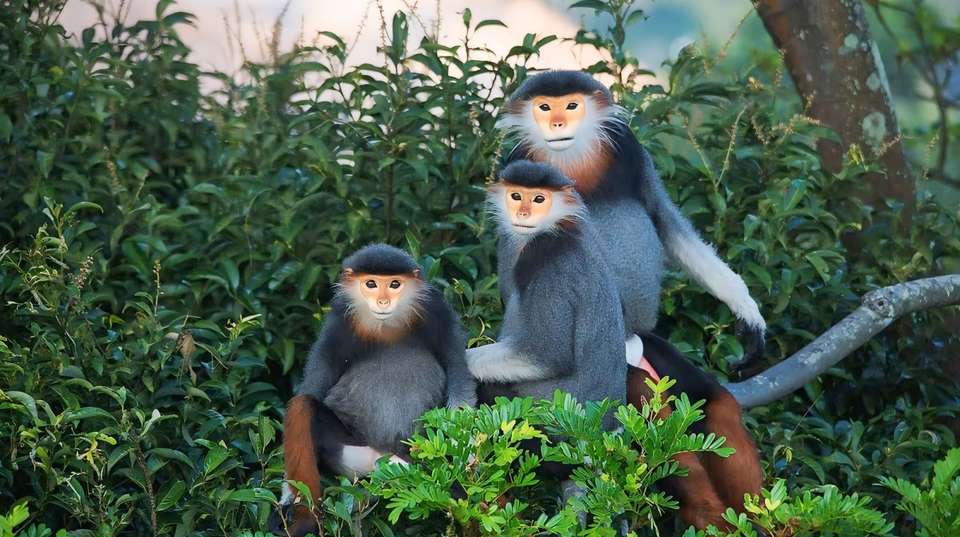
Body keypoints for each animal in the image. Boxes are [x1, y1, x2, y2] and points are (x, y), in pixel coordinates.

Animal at [271, 244, 474, 537]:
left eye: (394, 284)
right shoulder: (338, 323)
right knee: (302, 405)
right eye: (370, 284)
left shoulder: (437, 310)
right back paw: (304, 519)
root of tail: (384, 455)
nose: (383, 302)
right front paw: (288, 497)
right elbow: (312, 388)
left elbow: (459, 378)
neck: (386, 326)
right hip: (349, 453)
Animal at [495, 70, 764, 528]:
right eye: (545, 107)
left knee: (715, 406)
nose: (557, 124)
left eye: (571, 105)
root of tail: (634, 346)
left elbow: (666, 222)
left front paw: (746, 309)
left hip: (657, 353)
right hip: (624, 376)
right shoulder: (513, 165)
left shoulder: (628, 146)